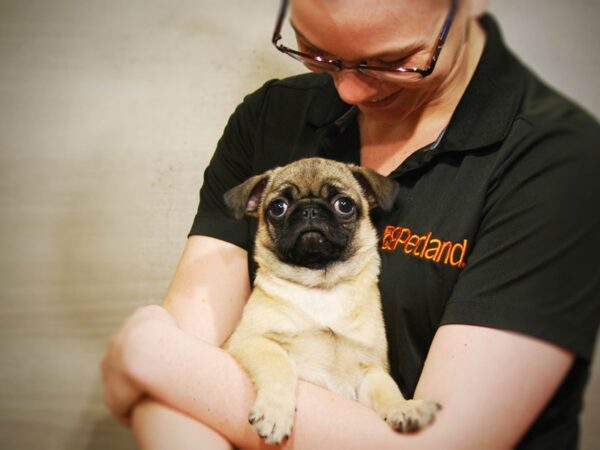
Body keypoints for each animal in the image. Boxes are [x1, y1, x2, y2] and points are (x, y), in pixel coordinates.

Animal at [223, 157, 438, 442]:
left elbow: (387, 390)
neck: (321, 285)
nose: (310, 210)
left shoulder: (370, 370)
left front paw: (402, 407)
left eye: (344, 205)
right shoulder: (251, 341)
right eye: (278, 208)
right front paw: (275, 413)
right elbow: (279, 365)